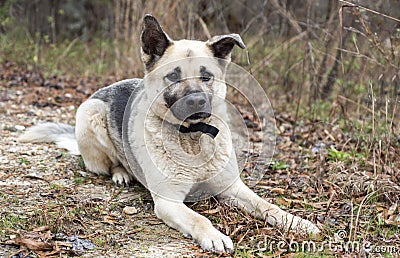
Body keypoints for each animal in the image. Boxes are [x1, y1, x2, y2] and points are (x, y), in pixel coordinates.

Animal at [19, 14, 322, 254]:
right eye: (174, 76)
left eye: (206, 76)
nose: (196, 101)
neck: (193, 137)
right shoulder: (169, 202)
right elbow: (200, 219)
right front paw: (214, 236)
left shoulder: (232, 188)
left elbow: (267, 206)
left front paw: (298, 223)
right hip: (91, 113)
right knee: (110, 162)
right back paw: (121, 173)